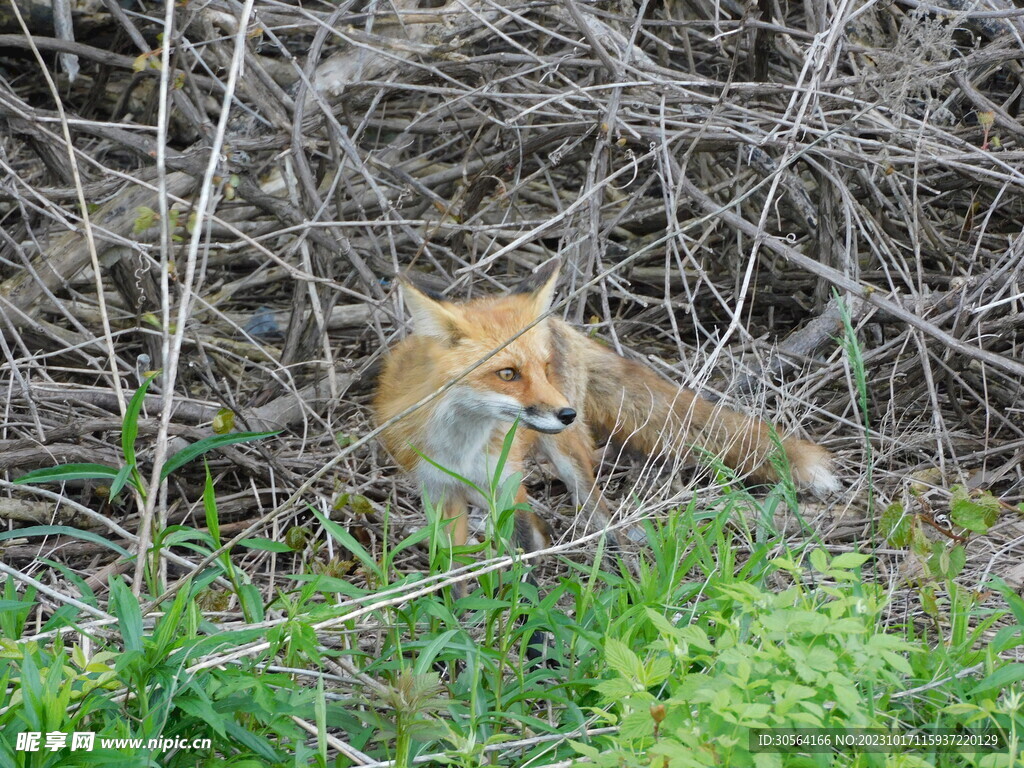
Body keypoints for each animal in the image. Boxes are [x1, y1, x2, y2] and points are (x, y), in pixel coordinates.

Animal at [376, 262, 839, 561]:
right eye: (507, 373)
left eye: (543, 369)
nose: (566, 414)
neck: (463, 445)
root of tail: (560, 323)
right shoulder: (439, 492)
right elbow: (452, 572)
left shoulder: (505, 479)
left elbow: (524, 550)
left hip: (567, 460)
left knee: (597, 512)